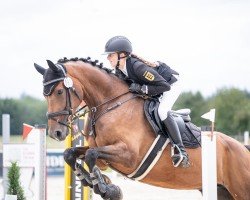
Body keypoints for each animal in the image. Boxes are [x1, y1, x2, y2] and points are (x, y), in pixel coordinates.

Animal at [34, 57, 250, 199]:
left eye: (59, 91)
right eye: (45, 95)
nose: (56, 132)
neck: (111, 104)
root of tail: (242, 148)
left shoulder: (129, 156)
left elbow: (91, 155)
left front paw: (106, 188)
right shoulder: (103, 150)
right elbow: (71, 154)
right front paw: (93, 182)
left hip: (241, 189)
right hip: (221, 189)